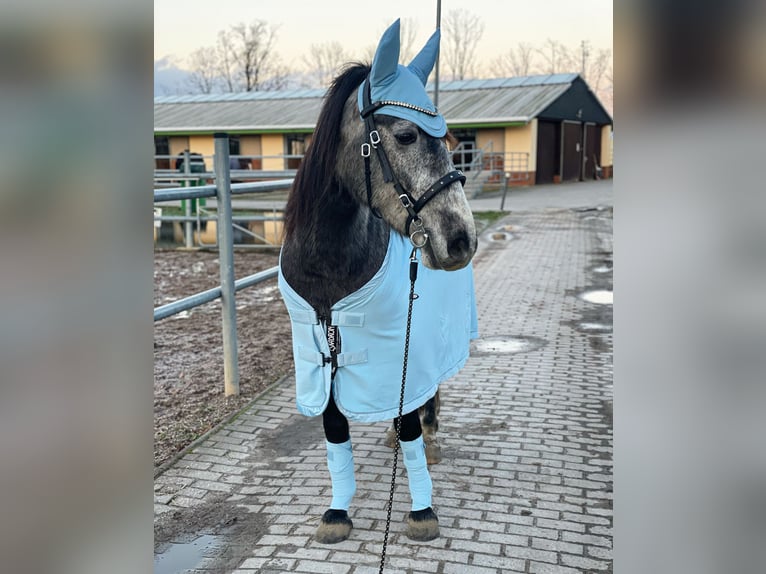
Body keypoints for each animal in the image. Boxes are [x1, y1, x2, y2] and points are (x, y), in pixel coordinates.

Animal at [280, 20, 476, 548]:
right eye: (406, 135)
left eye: (450, 138)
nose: (461, 239)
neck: (329, 266)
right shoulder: (322, 358)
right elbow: (334, 428)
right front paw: (336, 512)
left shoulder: (398, 345)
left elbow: (410, 426)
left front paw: (422, 511)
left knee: (427, 394)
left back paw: (430, 429)